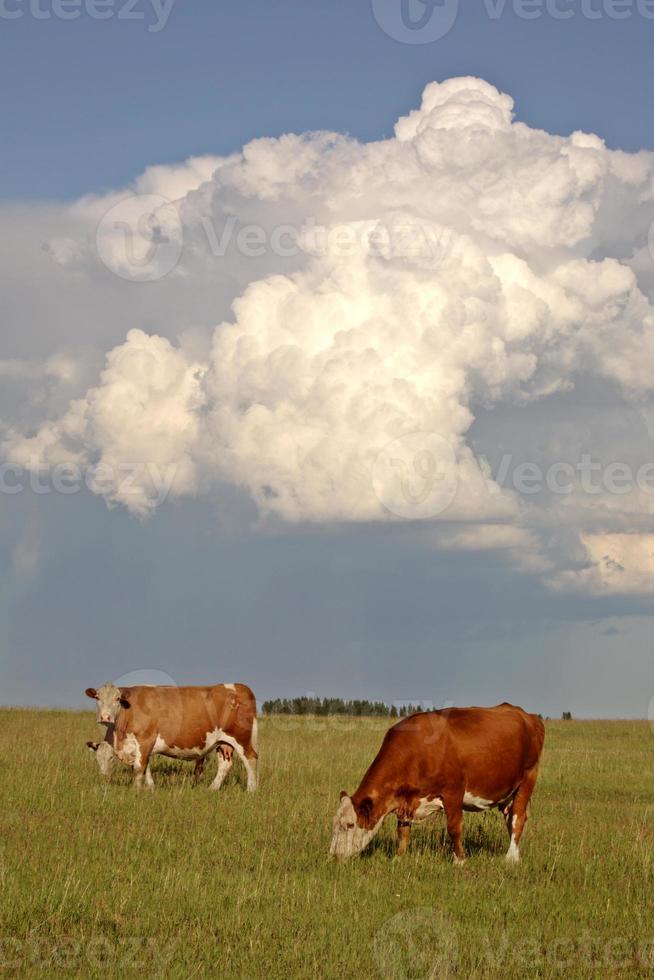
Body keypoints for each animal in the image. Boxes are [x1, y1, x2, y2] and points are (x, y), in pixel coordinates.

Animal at [86, 684, 260, 792]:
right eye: (97, 698)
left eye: (117, 698)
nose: (105, 717)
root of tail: (239, 687)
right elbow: (146, 767)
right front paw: (150, 787)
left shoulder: (145, 740)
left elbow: (139, 768)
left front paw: (136, 790)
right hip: (222, 742)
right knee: (225, 765)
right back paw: (212, 789)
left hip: (241, 738)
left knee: (251, 759)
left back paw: (251, 790)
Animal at [330, 704, 544, 864]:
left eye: (349, 824)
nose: (332, 856)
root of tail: (528, 716)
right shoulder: (405, 800)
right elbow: (402, 831)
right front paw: (398, 858)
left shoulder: (453, 792)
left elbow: (454, 829)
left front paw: (460, 861)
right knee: (511, 818)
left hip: (528, 778)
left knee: (518, 818)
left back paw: (511, 858)